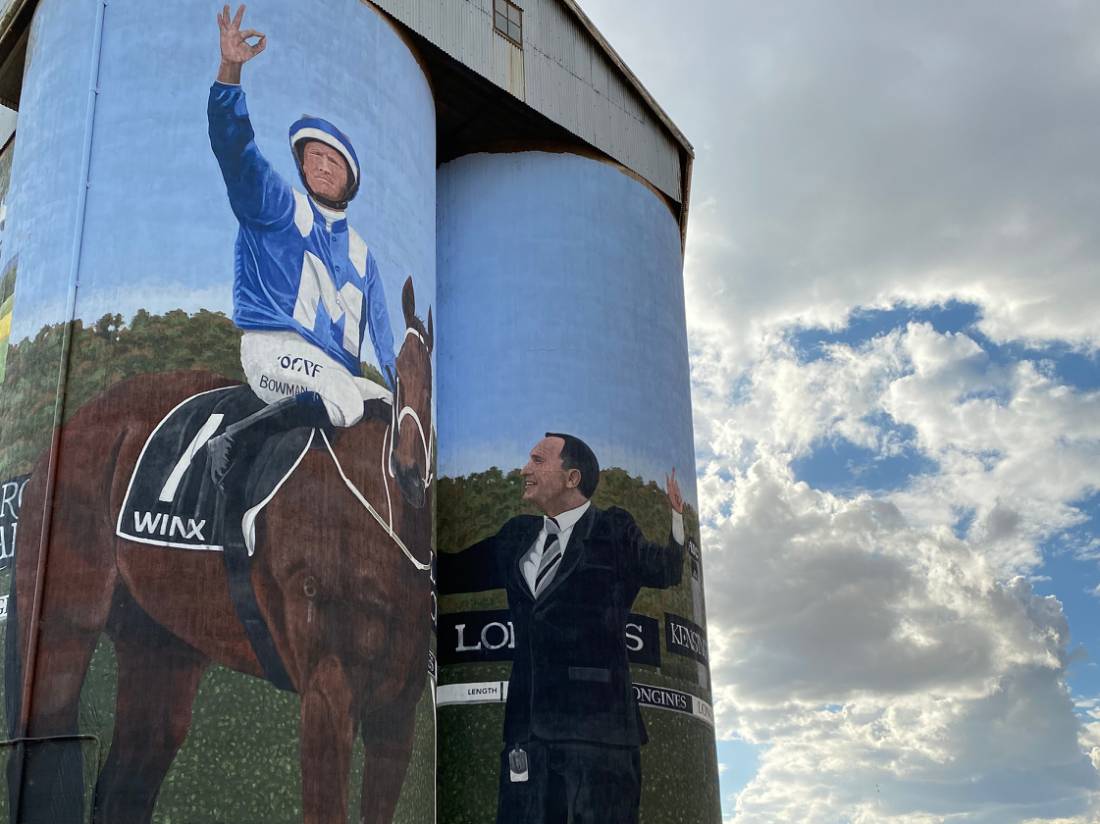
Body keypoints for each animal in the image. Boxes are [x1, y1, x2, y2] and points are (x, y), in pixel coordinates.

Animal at [5, 278, 433, 822]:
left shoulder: (396, 714)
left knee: (126, 785)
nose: (409, 470)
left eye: (433, 384)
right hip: (65, 627)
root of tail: (74, 428)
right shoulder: (328, 694)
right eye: (399, 374)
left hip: (162, 647)